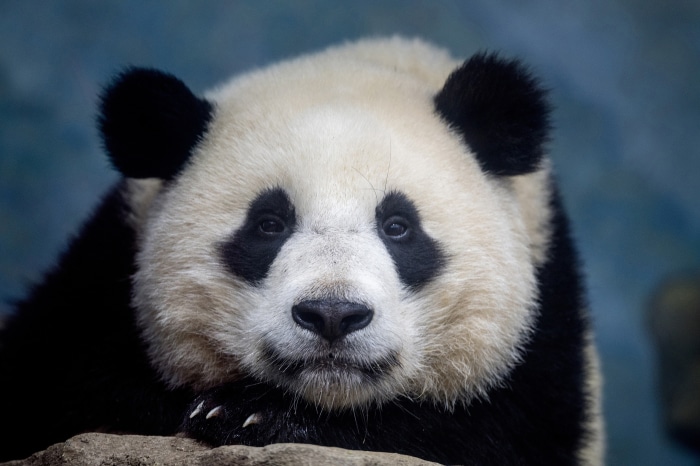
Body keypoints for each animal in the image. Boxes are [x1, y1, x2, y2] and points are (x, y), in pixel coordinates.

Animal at [0, 37, 604, 464]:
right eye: (268, 224)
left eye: (398, 226)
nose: (333, 315)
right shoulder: (103, 271)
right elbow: (64, 389)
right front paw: (222, 411)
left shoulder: (547, 314)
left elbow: (492, 434)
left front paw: (249, 417)